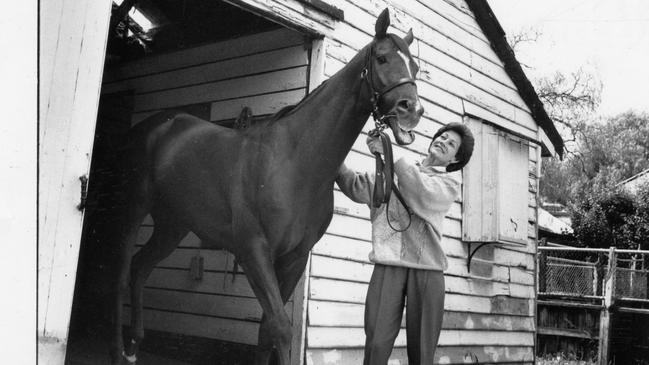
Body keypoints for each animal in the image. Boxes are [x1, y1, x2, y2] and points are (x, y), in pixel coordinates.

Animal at [110, 8, 426, 364]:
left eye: (414, 67)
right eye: (382, 58)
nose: (412, 111)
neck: (294, 162)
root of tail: (153, 128)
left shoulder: (294, 258)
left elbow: (265, 333)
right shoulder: (253, 251)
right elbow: (281, 329)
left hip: (172, 224)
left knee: (140, 268)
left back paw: (134, 346)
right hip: (134, 208)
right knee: (121, 276)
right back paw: (118, 350)